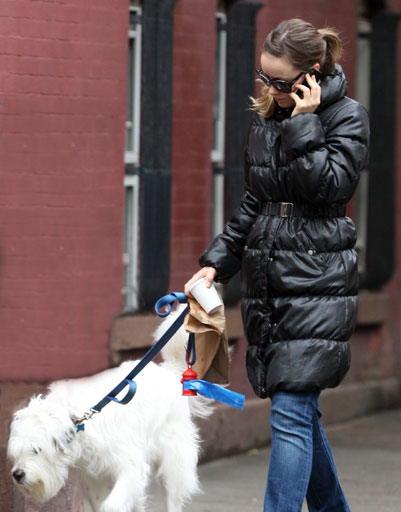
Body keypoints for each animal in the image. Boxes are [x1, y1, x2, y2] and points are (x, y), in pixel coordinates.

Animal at [7, 308, 211, 512]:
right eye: (17, 452)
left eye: (36, 450)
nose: (17, 475)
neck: (79, 421)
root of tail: (169, 371)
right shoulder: (94, 478)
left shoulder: (130, 466)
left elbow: (113, 503)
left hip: (173, 459)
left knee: (172, 496)